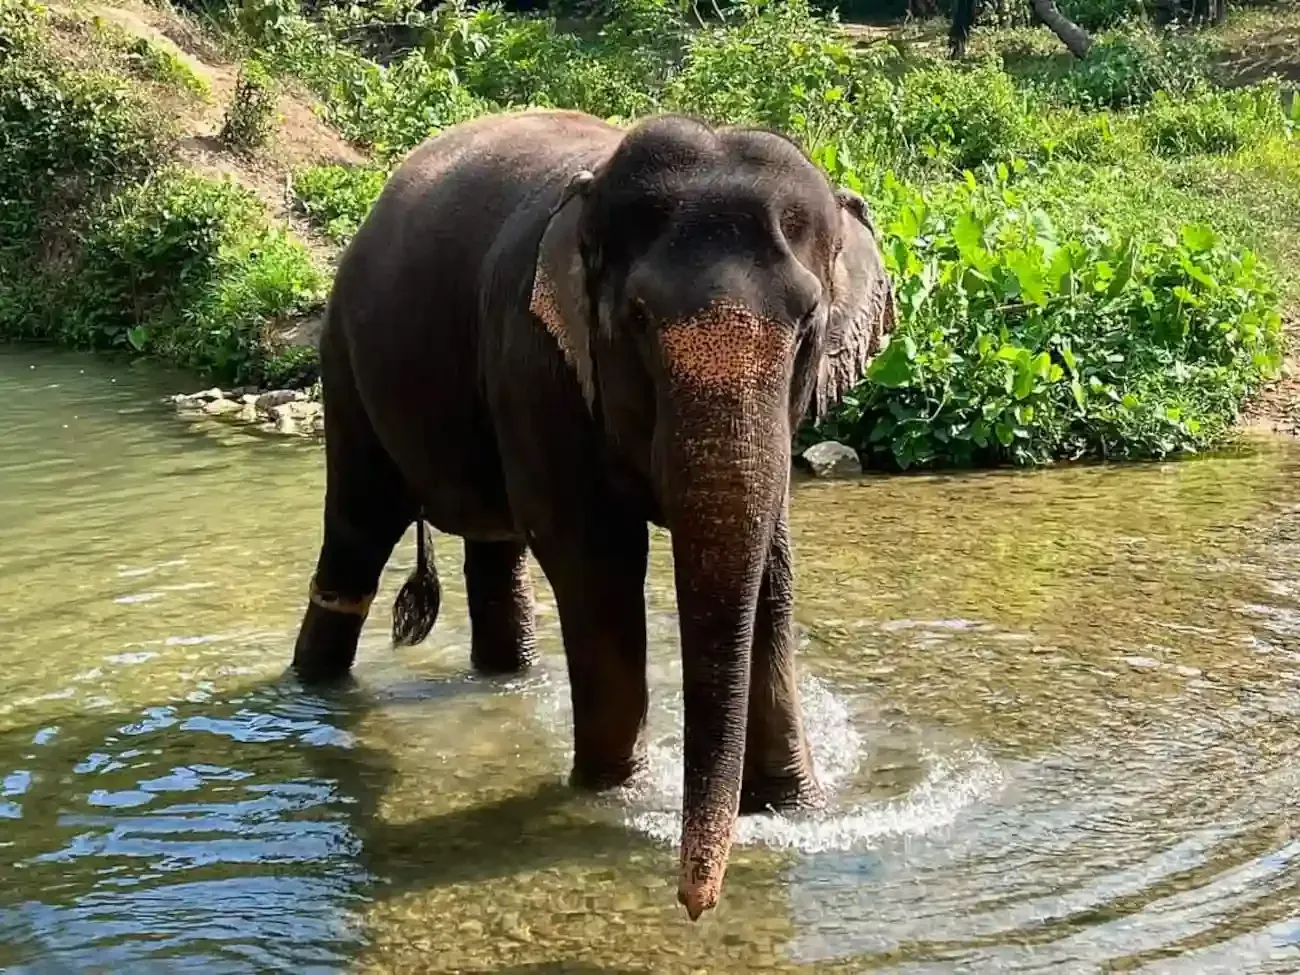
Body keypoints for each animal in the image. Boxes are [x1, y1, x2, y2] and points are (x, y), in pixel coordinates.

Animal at [290, 108, 896, 921]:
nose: (695, 905)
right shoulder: (535, 355)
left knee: (495, 551)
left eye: (809, 322)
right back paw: (315, 689)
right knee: (358, 530)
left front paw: (793, 810)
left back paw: (505, 673)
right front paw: (616, 795)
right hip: (347, 362)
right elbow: (595, 559)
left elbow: (771, 562)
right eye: (637, 317)